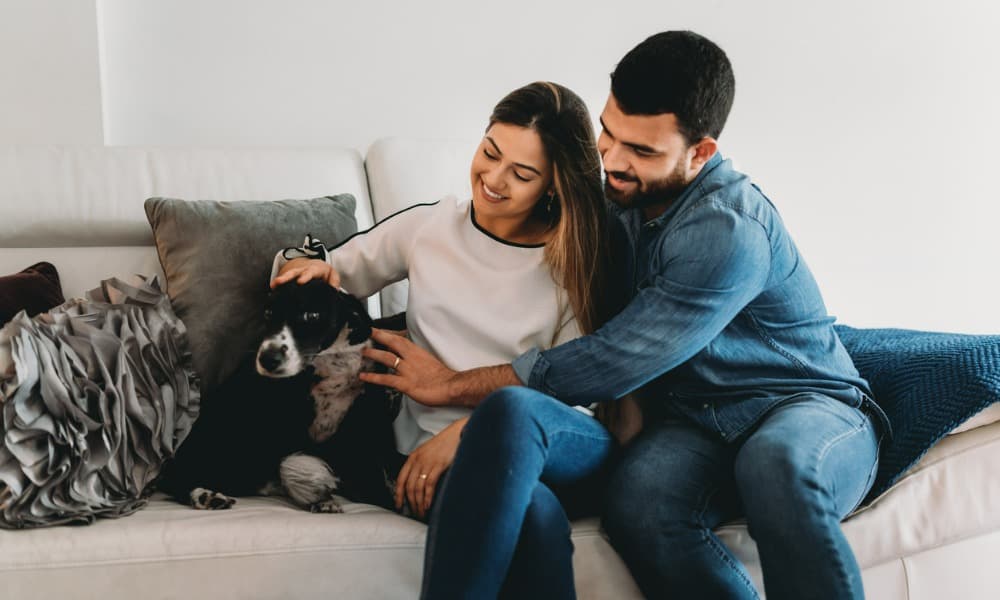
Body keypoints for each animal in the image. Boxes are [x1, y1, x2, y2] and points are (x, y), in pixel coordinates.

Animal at [158, 280, 400, 510]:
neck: (332, 364)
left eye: (312, 315)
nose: (267, 359)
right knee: (180, 478)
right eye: (268, 313)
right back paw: (205, 496)